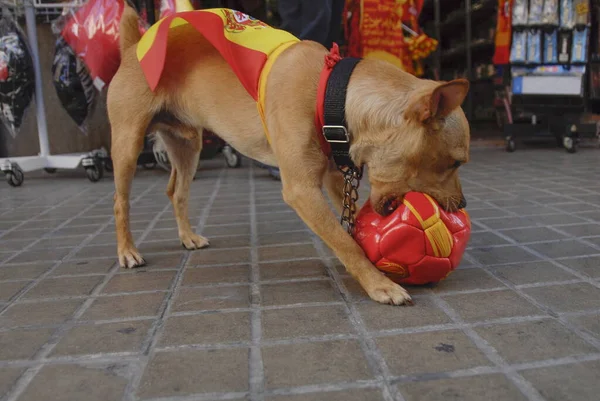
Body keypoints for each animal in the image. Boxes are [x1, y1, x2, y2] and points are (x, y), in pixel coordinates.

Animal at [110, 4, 472, 304]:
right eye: (455, 163)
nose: (462, 205)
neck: (331, 94)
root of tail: (132, 48)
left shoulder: (334, 179)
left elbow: (352, 229)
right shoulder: (301, 190)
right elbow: (344, 241)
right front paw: (379, 283)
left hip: (187, 145)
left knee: (177, 192)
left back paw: (187, 236)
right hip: (127, 145)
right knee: (120, 201)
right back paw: (127, 251)